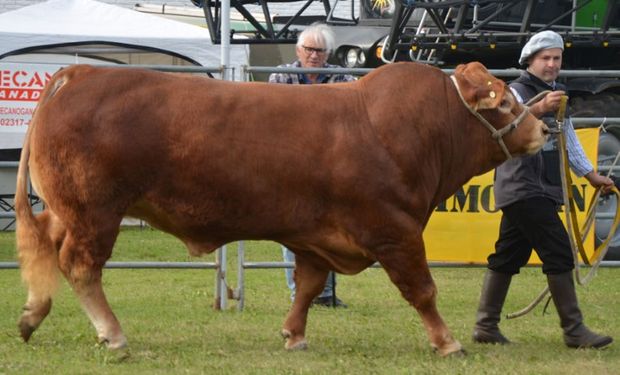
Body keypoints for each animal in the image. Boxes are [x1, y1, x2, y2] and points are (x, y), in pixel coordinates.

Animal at [15, 61, 548, 356]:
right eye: (503, 102)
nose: (543, 128)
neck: (415, 128)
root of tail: (81, 73)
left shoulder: (316, 237)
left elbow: (308, 287)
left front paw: (293, 335)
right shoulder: (394, 229)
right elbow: (422, 290)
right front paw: (447, 342)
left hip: (67, 208)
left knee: (45, 245)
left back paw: (32, 315)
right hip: (96, 211)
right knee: (80, 265)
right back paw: (112, 334)